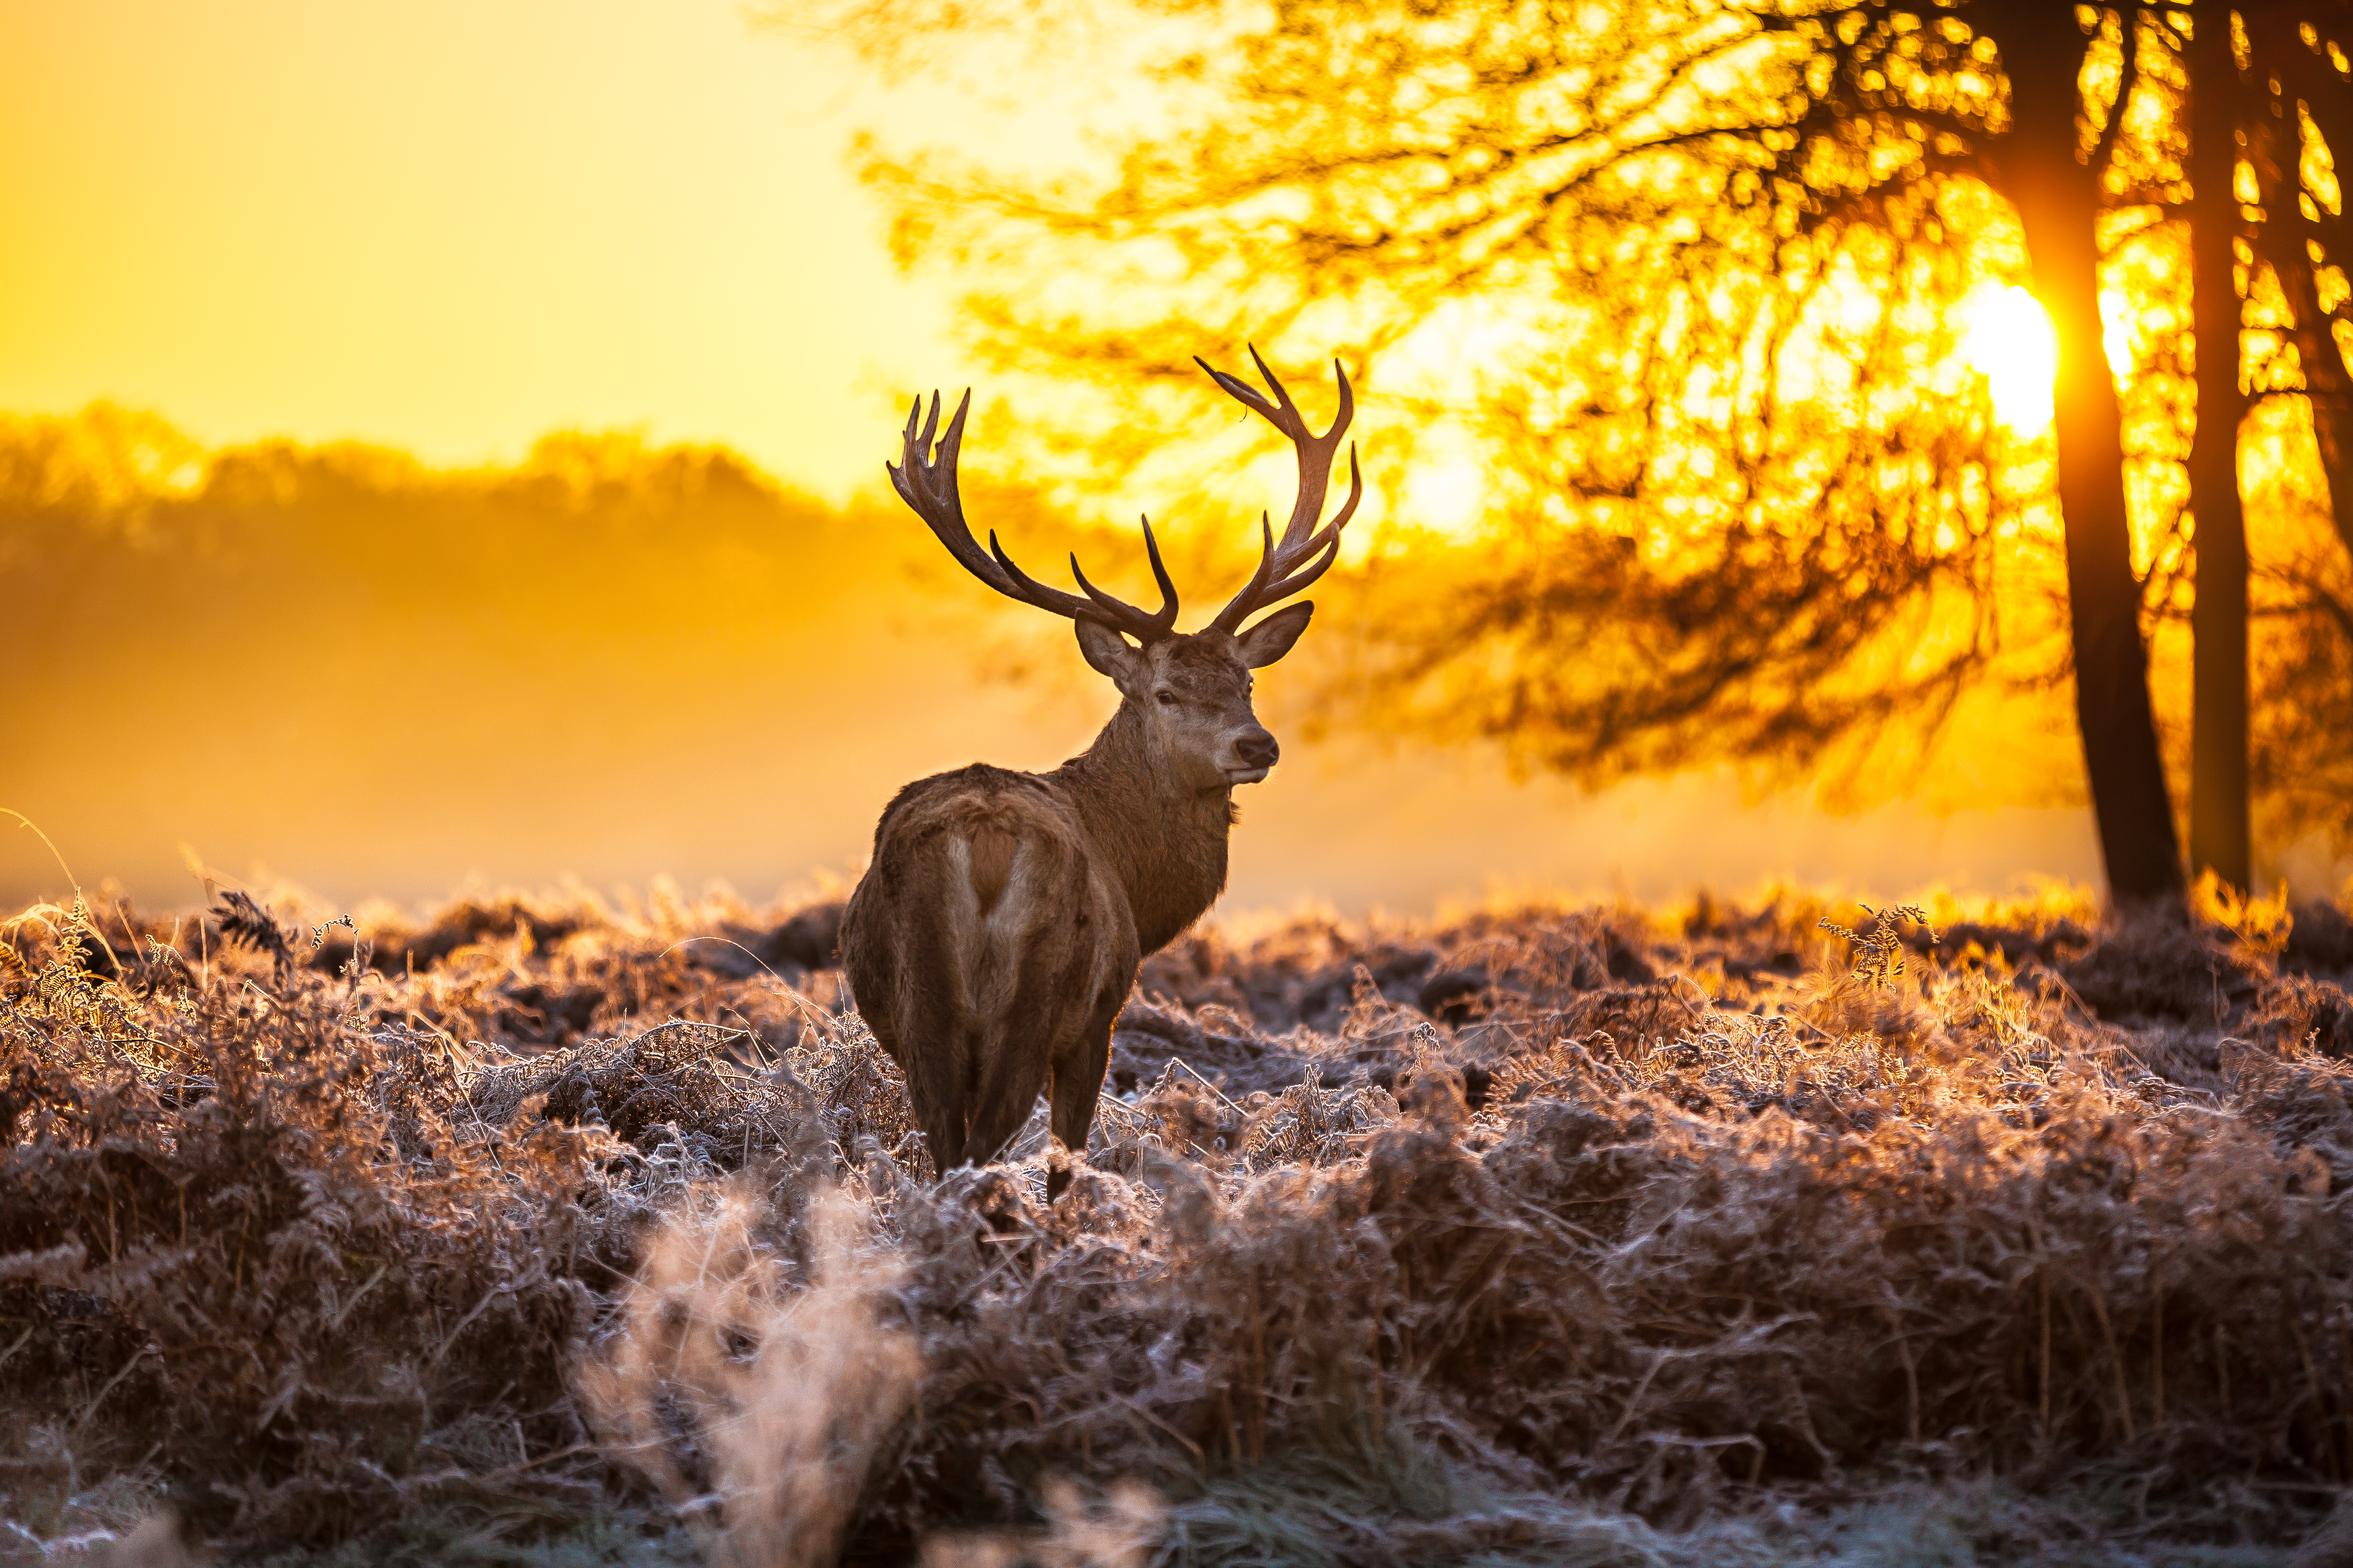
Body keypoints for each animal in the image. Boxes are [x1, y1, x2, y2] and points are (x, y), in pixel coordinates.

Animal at [839, 350, 1362, 1199]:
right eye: (1167, 691)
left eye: (1246, 682)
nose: (1258, 746)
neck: (1138, 882)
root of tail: (983, 846)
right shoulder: (1101, 1016)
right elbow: (1068, 1158)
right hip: (1043, 996)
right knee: (986, 1146)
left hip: (926, 1012)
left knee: (948, 1147)